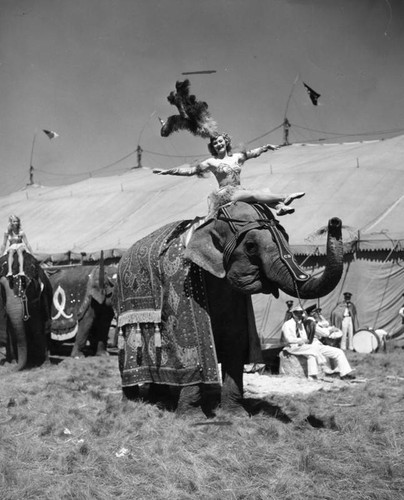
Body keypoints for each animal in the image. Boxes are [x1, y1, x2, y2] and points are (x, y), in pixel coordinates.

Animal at [113, 201, 344, 416]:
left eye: (286, 238)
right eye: (250, 246)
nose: (334, 222)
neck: (208, 223)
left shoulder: (233, 296)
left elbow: (236, 341)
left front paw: (236, 414)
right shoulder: (179, 284)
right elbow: (189, 345)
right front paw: (191, 417)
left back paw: (160, 400)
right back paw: (132, 403)